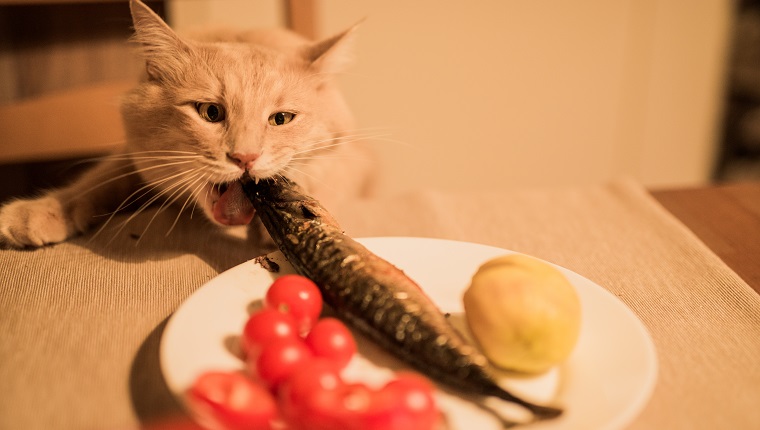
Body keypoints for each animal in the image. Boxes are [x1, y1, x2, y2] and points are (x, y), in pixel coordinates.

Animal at [0, 0, 374, 249]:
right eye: (210, 112)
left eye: (281, 119)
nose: (245, 158)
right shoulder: (132, 155)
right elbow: (97, 179)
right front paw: (41, 211)